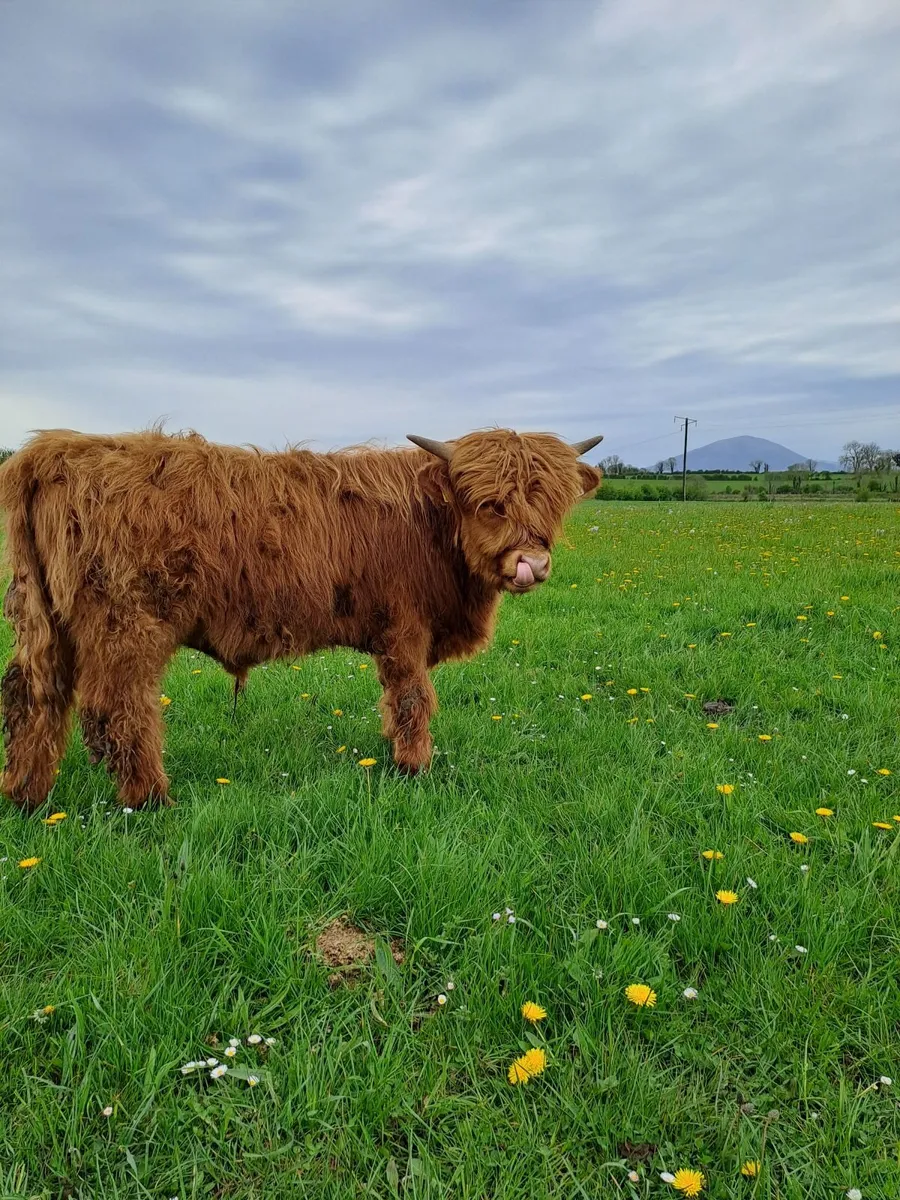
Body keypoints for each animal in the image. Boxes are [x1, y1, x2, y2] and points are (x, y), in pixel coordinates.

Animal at [0, 427, 602, 811]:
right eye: (489, 503)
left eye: (554, 502)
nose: (532, 564)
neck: (433, 526)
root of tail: (54, 449)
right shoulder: (405, 629)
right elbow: (412, 698)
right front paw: (413, 768)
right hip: (124, 626)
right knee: (116, 711)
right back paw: (151, 799)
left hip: (47, 625)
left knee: (34, 698)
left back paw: (27, 795)